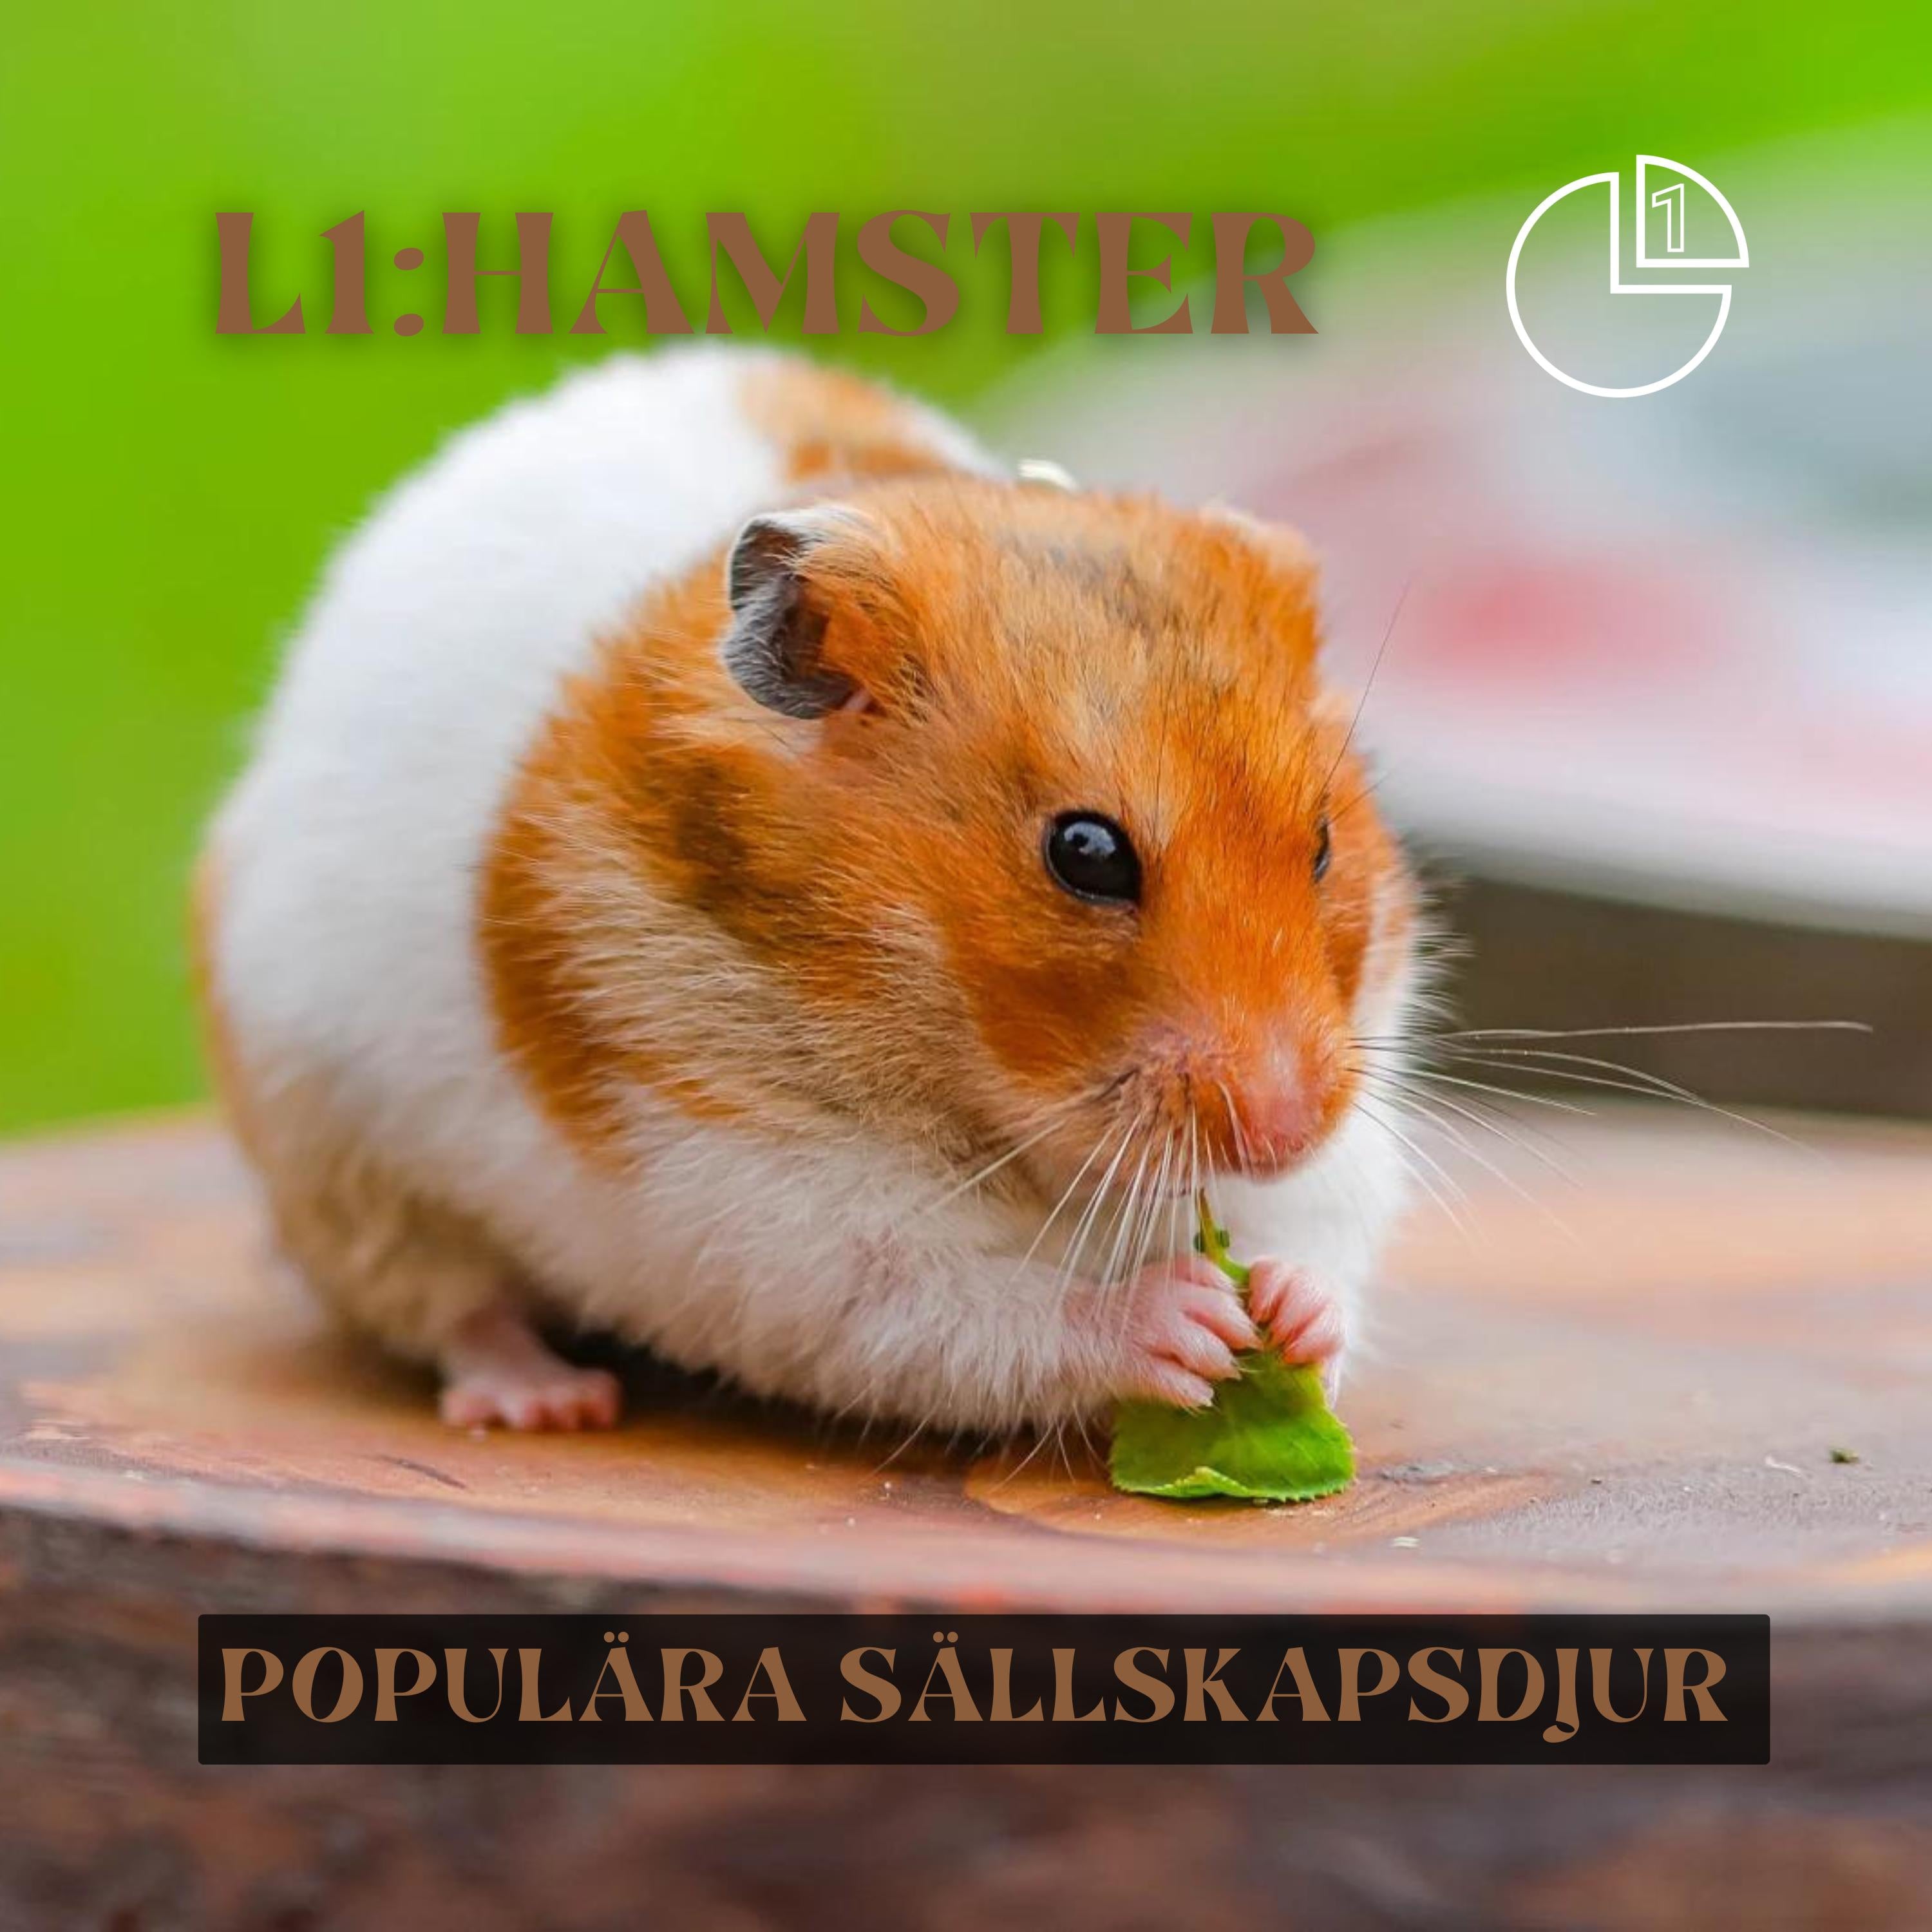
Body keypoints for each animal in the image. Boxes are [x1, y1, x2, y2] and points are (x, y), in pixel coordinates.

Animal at [193, 346, 1422, 1437]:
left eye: (1323, 841)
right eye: (1086, 854)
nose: (1287, 1127)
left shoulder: (1349, 1096)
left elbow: (1313, 1228)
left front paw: (1287, 1318)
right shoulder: (751, 1194)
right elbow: (964, 1306)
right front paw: (1191, 1325)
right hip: (342, 1164)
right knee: (451, 1312)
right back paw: (547, 1402)